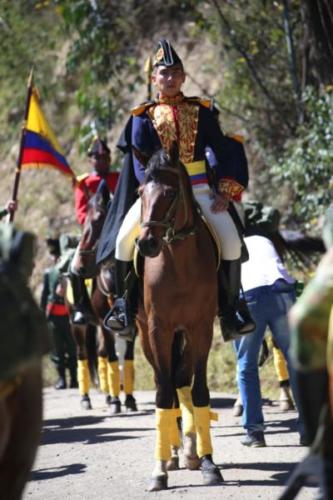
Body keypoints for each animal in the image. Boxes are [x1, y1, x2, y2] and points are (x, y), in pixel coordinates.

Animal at [69, 182, 137, 412]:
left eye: (99, 220)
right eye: (84, 221)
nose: (80, 266)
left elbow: (127, 358)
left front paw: (129, 399)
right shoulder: (108, 326)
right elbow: (114, 358)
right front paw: (117, 401)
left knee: (100, 354)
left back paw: (108, 396)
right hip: (79, 326)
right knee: (83, 355)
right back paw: (86, 398)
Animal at [134, 146, 222, 492]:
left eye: (170, 193)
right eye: (140, 192)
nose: (147, 243)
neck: (179, 262)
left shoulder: (200, 327)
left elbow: (198, 391)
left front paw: (209, 462)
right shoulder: (158, 329)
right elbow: (162, 393)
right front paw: (159, 470)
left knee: (181, 381)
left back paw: (189, 450)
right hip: (148, 336)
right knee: (167, 384)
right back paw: (171, 453)